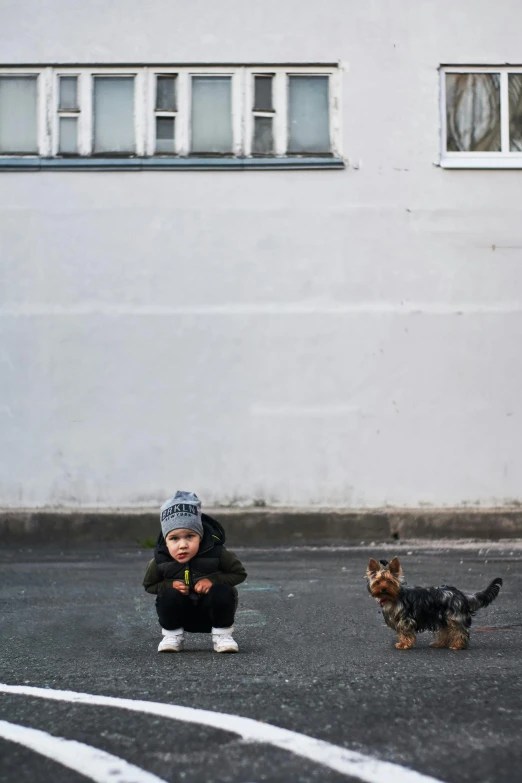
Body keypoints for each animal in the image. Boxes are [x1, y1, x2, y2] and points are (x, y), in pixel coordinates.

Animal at [364, 560, 502, 652]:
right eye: (378, 582)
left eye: (390, 581)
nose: (383, 589)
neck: (393, 597)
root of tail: (460, 594)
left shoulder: (406, 619)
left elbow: (405, 632)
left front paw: (404, 644)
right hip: (443, 618)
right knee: (445, 631)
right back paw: (439, 643)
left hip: (454, 617)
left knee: (460, 631)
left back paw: (458, 645)